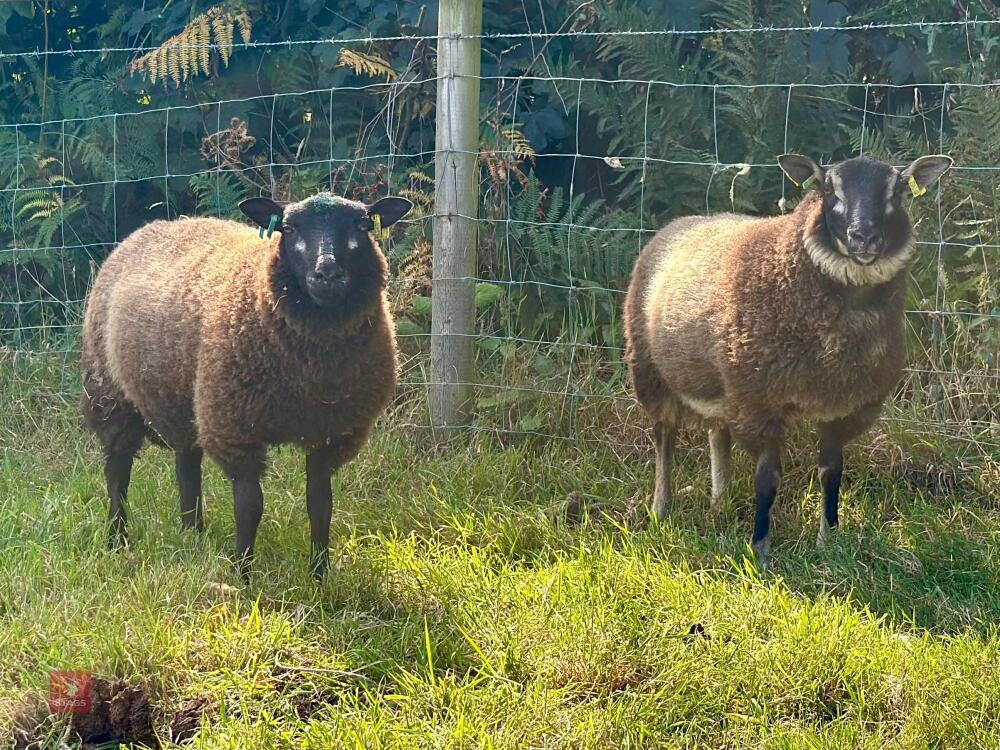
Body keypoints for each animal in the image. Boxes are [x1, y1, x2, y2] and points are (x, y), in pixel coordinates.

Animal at [80, 192, 413, 577]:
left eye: (362, 225)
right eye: (288, 228)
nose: (327, 273)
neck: (311, 370)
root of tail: (152, 227)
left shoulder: (329, 432)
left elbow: (321, 504)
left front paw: (319, 574)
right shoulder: (236, 427)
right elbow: (250, 506)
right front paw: (242, 574)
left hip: (187, 400)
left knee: (186, 466)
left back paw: (192, 532)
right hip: (110, 394)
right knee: (117, 476)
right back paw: (117, 540)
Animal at [623, 153, 952, 567]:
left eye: (897, 191)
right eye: (828, 189)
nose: (864, 237)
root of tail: (680, 223)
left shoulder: (842, 406)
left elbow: (831, 473)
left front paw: (828, 540)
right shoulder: (761, 401)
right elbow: (769, 479)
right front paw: (759, 549)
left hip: (725, 381)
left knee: (717, 433)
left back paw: (719, 502)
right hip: (650, 371)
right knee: (664, 440)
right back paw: (660, 509)